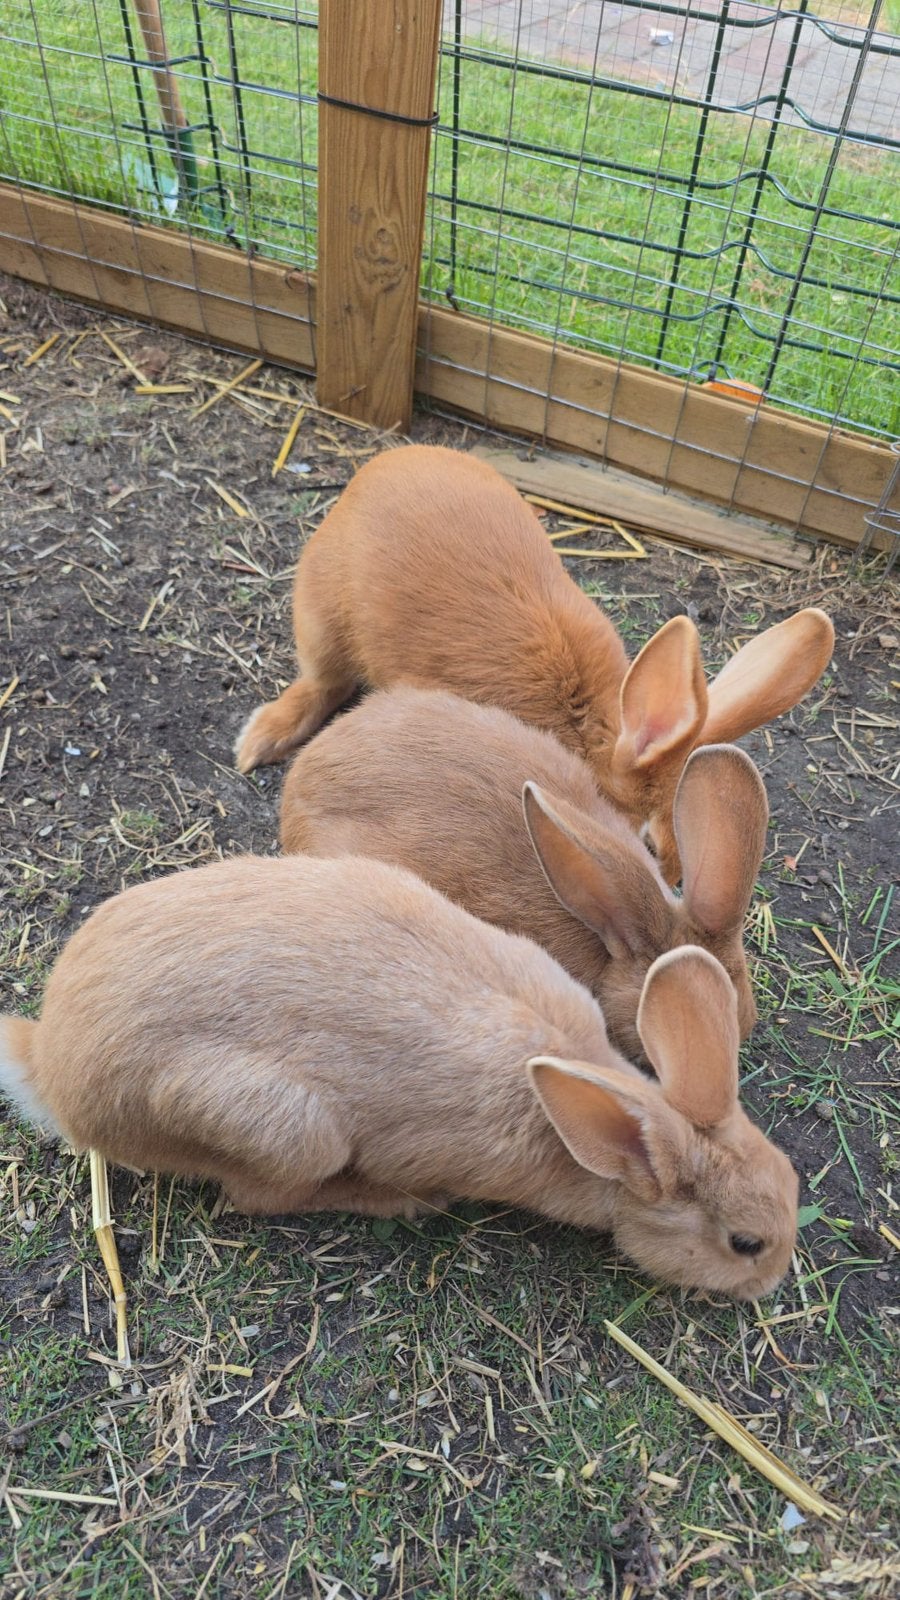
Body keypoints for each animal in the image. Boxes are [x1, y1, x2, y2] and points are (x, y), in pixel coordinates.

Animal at [0, 854, 798, 1300]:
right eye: (744, 1244)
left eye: (791, 1182)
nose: (770, 1284)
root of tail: (56, 1066)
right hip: (288, 1130)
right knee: (254, 1197)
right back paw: (397, 1201)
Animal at [235, 444, 834, 883]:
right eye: (646, 843)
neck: (591, 730)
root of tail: (376, 469)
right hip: (320, 616)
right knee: (322, 682)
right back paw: (259, 740)